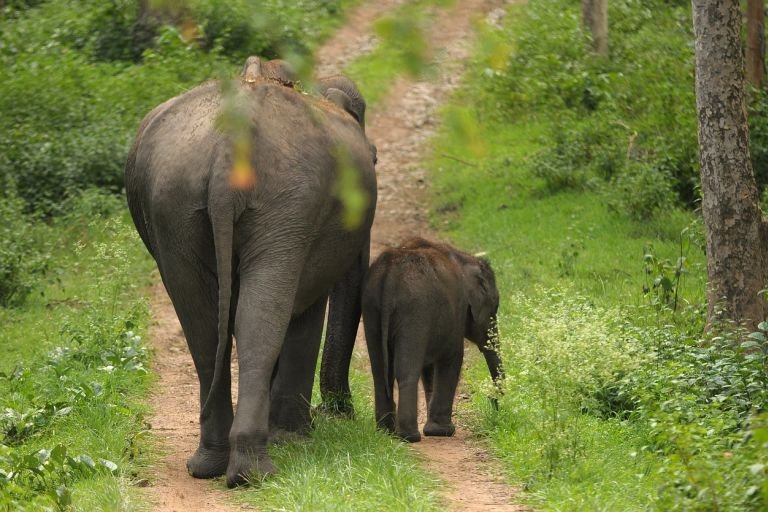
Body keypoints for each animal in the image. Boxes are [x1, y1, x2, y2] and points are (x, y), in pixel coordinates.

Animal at [124, 58, 376, 486]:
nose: (340, 410)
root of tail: (231, 144)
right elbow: (305, 313)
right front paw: (294, 437)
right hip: (284, 201)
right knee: (259, 319)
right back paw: (255, 469)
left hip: (175, 203)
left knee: (204, 324)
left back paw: (213, 465)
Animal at [364, 238, 504, 442]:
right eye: (495, 308)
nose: (493, 402)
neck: (465, 258)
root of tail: (389, 276)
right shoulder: (457, 309)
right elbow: (452, 358)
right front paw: (442, 431)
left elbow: (429, 368)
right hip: (414, 312)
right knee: (406, 370)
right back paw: (409, 436)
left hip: (371, 308)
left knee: (380, 372)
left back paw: (385, 431)